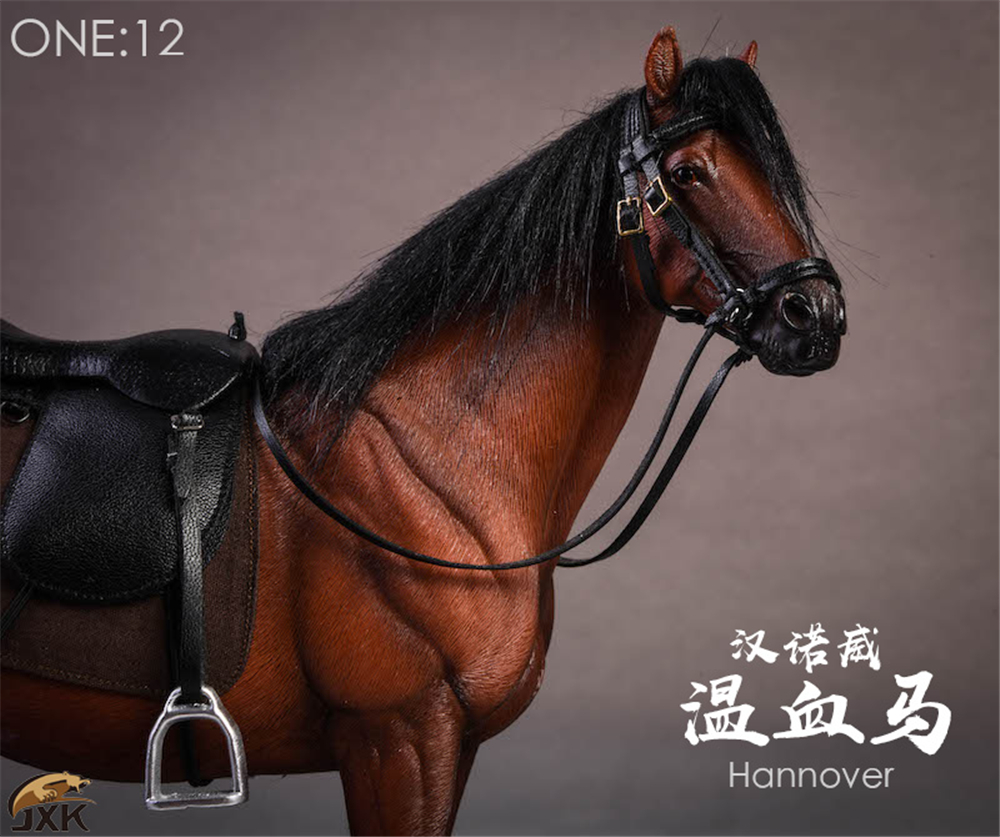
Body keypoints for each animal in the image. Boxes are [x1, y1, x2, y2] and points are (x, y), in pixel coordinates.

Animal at [1, 26, 846, 835]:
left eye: (772, 170)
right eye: (692, 171)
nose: (816, 316)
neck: (425, 458)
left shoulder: (449, 747)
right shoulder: (398, 739)